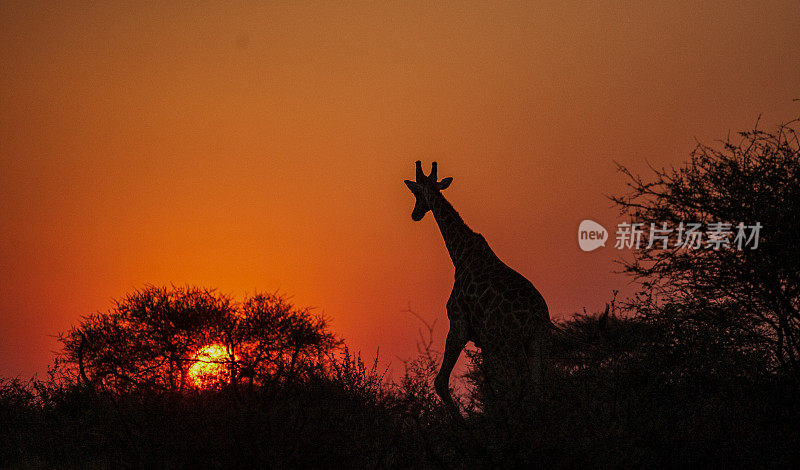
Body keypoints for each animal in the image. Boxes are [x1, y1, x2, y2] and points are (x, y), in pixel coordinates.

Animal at [404, 160, 552, 406]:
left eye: (415, 192)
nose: (415, 214)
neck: (460, 253)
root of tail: (536, 317)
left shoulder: (459, 323)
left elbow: (441, 382)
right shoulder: (481, 339)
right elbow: (487, 386)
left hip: (502, 344)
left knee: (512, 386)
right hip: (536, 342)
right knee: (538, 387)